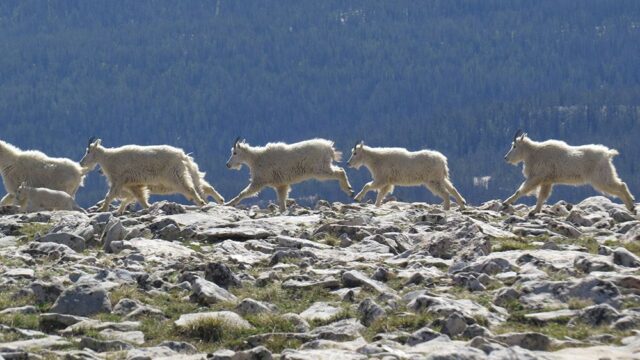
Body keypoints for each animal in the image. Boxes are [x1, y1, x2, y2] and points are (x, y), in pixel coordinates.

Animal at [79, 137, 221, 211]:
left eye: (88, 151)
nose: (81, 162)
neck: (108, 158)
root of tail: (183, 156)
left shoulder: (118, 179)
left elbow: (110, 195)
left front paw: (101, 209)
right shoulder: (133, 184)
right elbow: (139, 197)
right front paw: (148, 207)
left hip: (174, 174)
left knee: (189, 188)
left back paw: (201, 203)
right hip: (189, 172)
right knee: (202, 187)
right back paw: (215, 200)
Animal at [226, 138, 356, 211]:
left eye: (235, 152)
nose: (227, 165)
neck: (256, 158)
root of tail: (330, 148)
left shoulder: (259, 180)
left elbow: (244, 193)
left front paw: (229, 203)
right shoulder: (281, 184)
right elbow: (282, 201)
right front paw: (283, 211)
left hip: (320, 170)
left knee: (340, 172)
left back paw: (349, 190)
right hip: (323, 167)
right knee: (340, 170)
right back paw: (350, 190)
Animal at [504, 129, 636, 214]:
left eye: (514, 146)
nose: (506, 158)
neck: (534, 153)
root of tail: (608, 154)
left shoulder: (536, 177)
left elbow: (521, 190)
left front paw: (506, 202)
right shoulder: (547, 181)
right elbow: (542, 196)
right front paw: (535, 211)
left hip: (600, 178)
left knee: (620, 187)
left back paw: (631, 206)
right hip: (605, 175)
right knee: (620, 185)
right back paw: (631, 206)